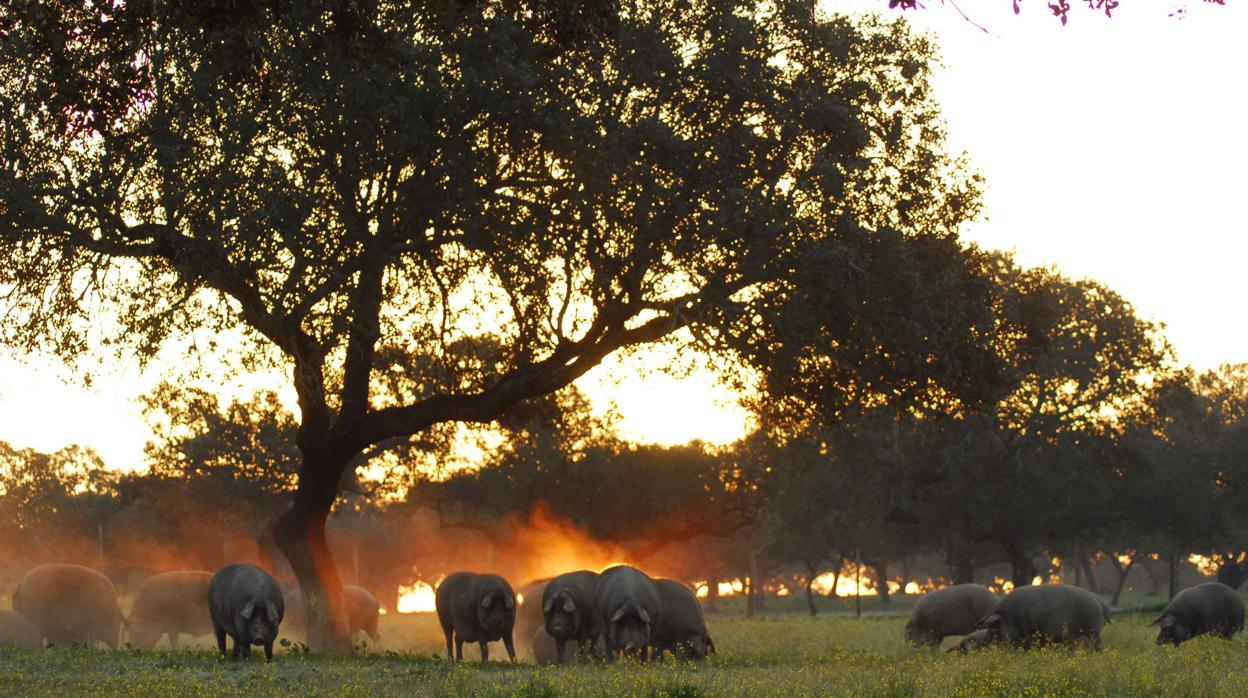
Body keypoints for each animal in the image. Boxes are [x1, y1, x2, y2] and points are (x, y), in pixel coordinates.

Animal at [978, 584, 1108, 649]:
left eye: (993, 627)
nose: (983, 643)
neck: (1010, 617)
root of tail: (1097, 598)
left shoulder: (1030, 630)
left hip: (1093, 628)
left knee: (1098, 644)